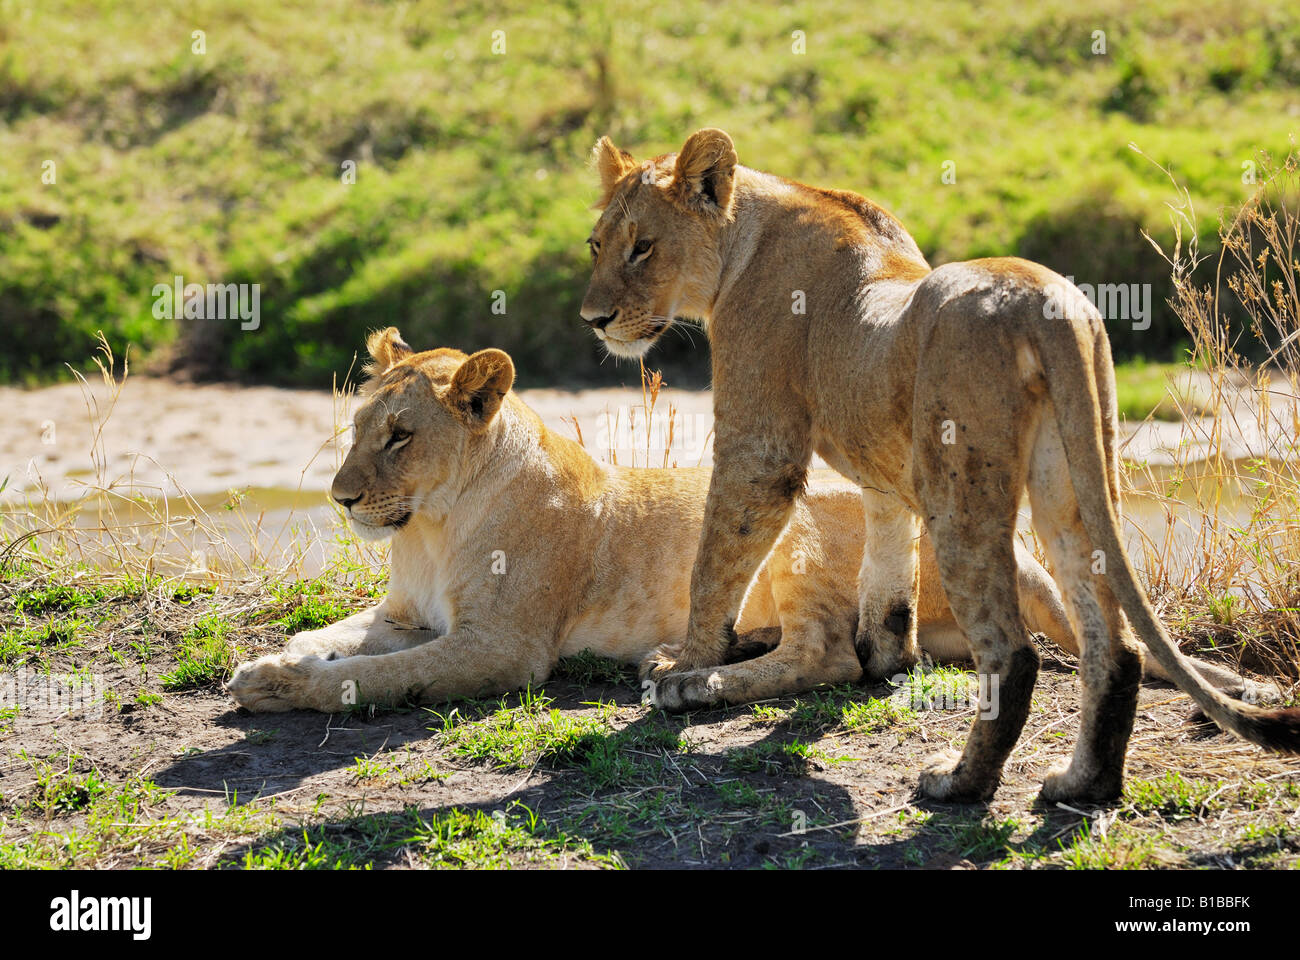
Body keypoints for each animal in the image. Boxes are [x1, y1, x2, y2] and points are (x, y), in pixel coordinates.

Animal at [226, 331, 1264, 716]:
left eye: (400, 435)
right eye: (358, 425)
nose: (341, 497)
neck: (428, 526)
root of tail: (1010, 545)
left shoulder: (504, 646)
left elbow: (373, 677)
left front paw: (284, 690)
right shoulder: (406, 612)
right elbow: (337, 636)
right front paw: (266, 663)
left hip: (797, 517)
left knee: (831, 657)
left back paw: (692, 683)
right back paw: (689, 655)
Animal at [578, 127, 1300, 802]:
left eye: (643, 247)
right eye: (595, 245)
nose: (593, 319)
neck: (742, 236)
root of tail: (1042, 297)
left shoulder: (762, 446)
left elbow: (715, 566)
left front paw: (686, 668)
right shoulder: (884, 480)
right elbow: (887, 577)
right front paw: (885, 657)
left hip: (961, 496)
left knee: (1013, 655)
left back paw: (959, 782)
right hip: (1071, 482)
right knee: (1114, 648)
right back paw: (1080, 784)